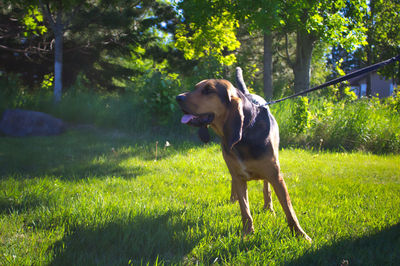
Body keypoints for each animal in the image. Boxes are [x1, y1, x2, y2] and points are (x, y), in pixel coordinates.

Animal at [177, 77, 310, 241]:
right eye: (196, 88)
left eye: (208, 90)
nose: (178, 98)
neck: (246, 132)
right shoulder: (239, 177)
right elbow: (245, 210)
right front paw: (247, 233)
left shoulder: (276, 176)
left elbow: (289, 209)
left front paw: (300, 235)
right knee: (234, 183)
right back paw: (233, 199)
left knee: (266, 188)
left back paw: (268, 207)